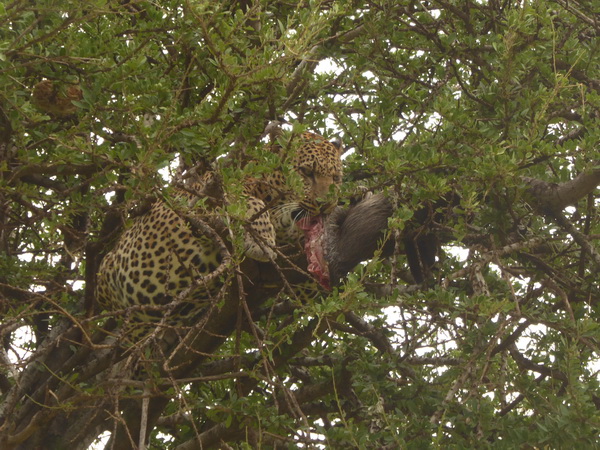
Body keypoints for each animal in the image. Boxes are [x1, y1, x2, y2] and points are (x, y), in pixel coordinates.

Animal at [97, 131, 342, 330]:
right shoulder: (201, 201)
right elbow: (246, 200)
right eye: (306, 171)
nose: (326, 204)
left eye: (336, 178)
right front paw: (261, 239)